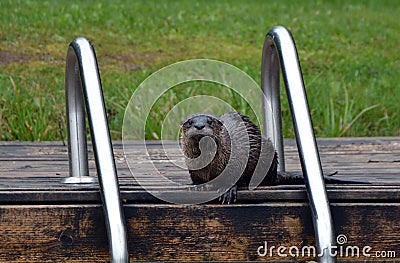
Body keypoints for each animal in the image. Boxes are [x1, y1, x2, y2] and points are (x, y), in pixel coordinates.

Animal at [181, 111, 366, 204]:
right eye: (190, 122)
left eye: (210, 122)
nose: (199, 125)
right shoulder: (193, 169)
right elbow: (196, 179)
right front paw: (196, 187)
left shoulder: (237, 159)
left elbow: (234, 176)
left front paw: (228, 190)